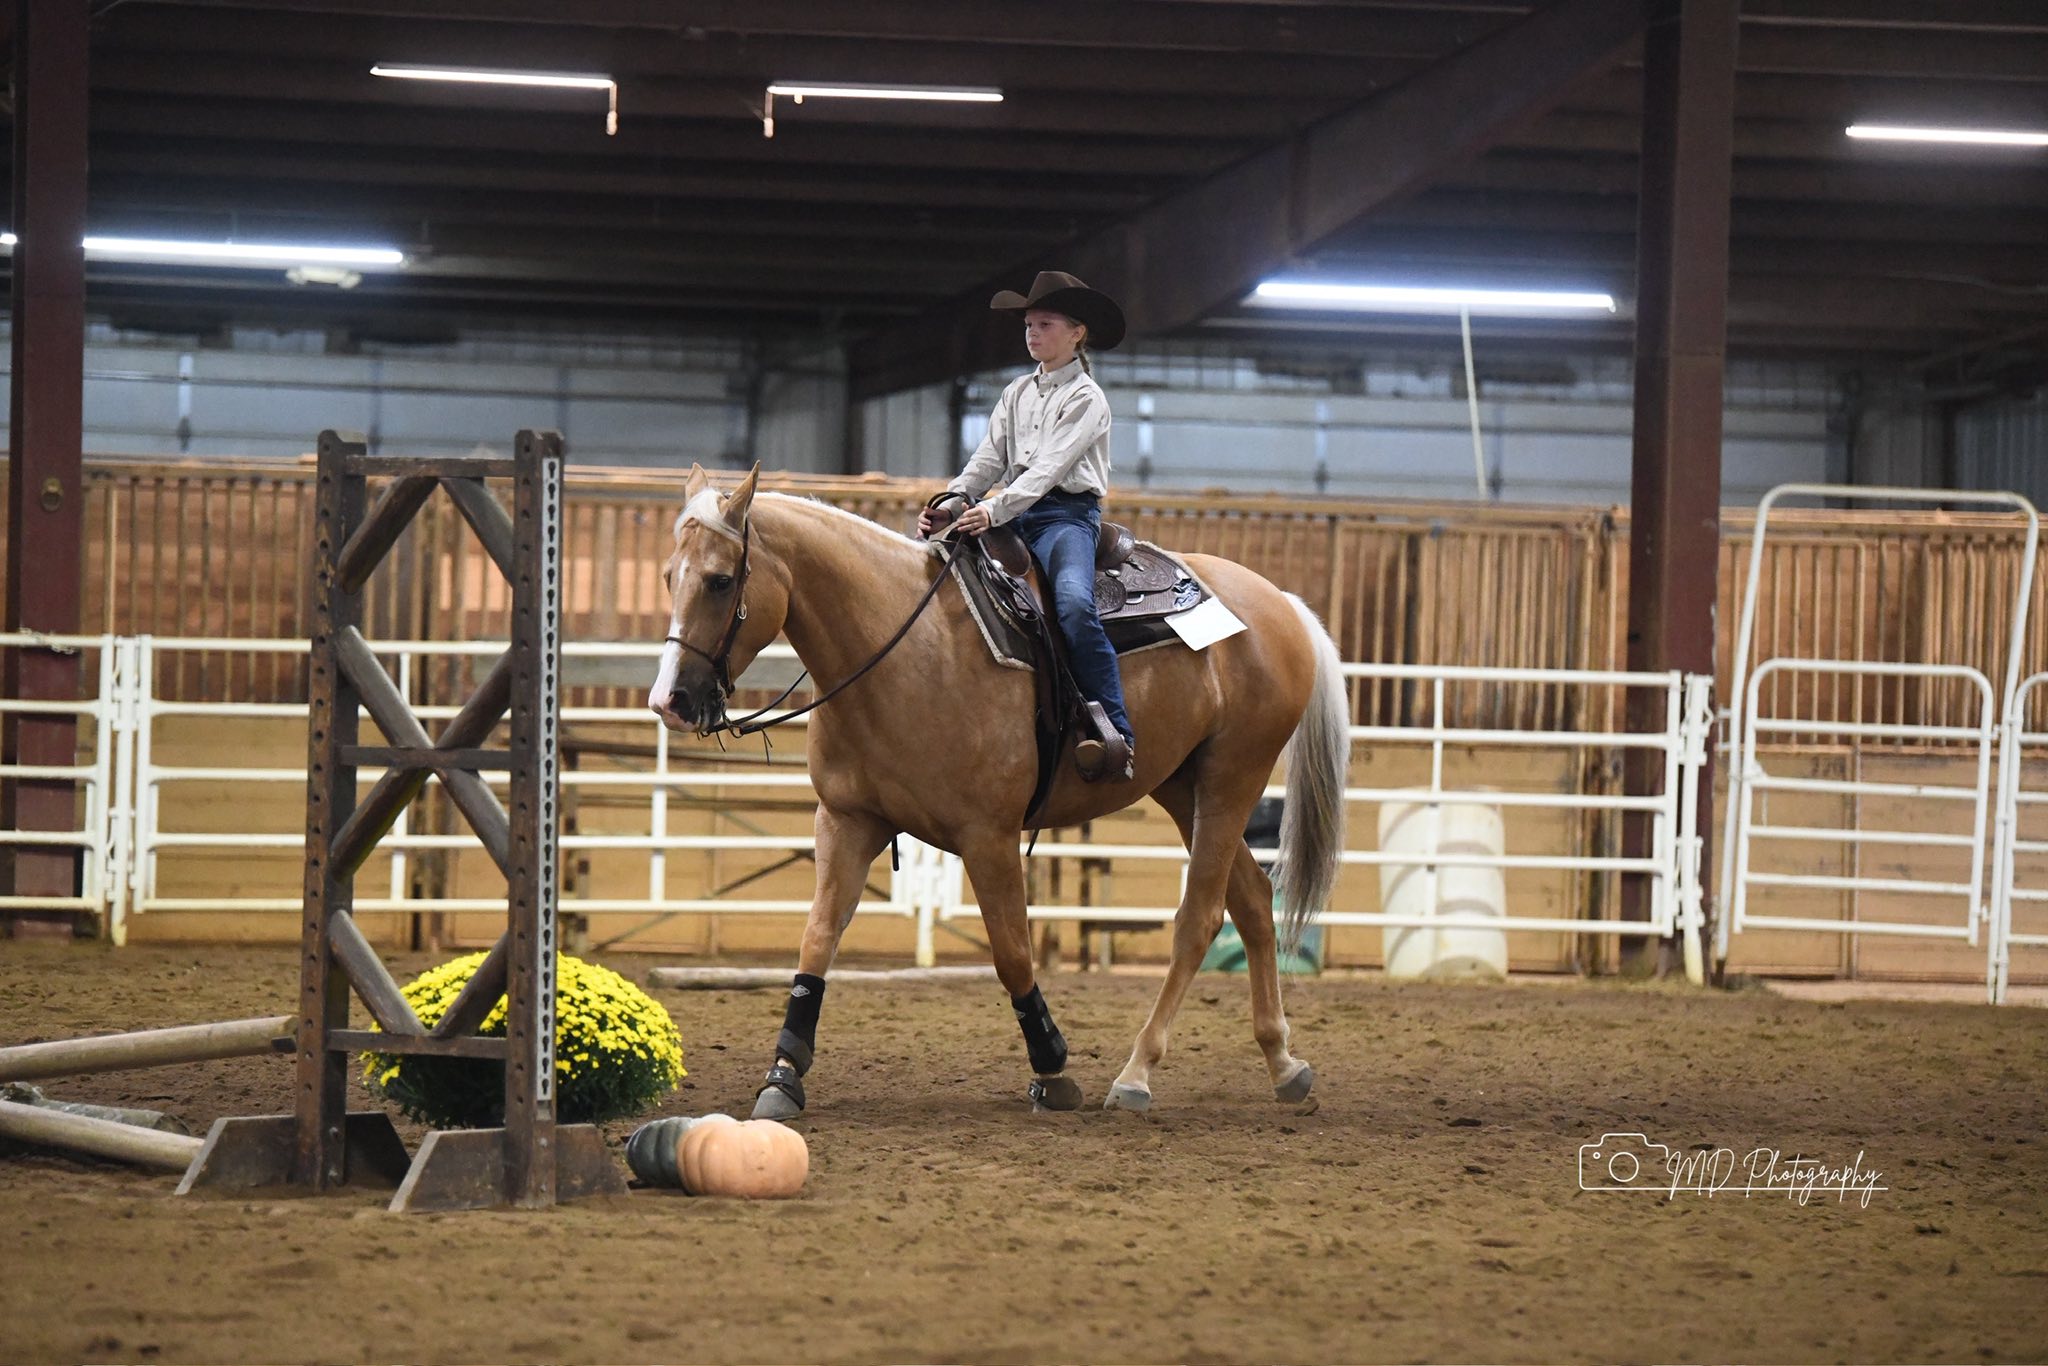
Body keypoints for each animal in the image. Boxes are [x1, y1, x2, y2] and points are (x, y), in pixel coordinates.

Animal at [648, 464, 1349, 1118]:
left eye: (719, 580)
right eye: (668, 576)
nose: (669, 701)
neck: (905, 651)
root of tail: (1280, 602)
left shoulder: (989, 837)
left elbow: (1013, 952)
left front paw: (1053, 1067)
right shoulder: (847, 821)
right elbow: (818, 938)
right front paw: (783, 1077)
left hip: (1234, 776)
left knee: (1198, 919)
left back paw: (1137, 1074)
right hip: (1185, 786)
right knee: (1252, 901)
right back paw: (1283, 1062)